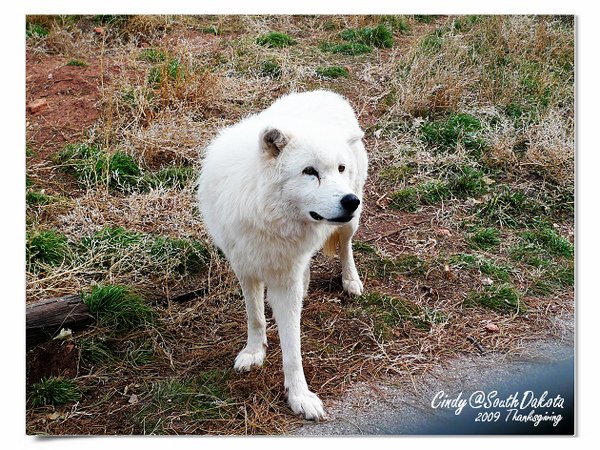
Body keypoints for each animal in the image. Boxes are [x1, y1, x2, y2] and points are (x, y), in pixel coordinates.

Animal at [198, 89, 366, 420]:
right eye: (310, 172)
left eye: (339, 169)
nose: (350, 201)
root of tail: (326, 92)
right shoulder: (246, 268)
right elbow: (255, 318)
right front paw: (254, 353)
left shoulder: (284, 281)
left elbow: (292, 348)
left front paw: (299, 397)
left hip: (349, 224)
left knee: (345, 247)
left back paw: (351, 280)